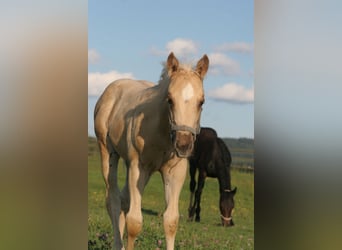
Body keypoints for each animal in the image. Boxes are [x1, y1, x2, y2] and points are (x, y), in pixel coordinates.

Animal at [95, 52, 210, 250]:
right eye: (170, 99)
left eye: (201, 101)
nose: (183, 144)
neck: (162, 132)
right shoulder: (139, 167)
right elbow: (135, 222)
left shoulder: (176, 172)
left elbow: (171, 221)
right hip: (108, 153)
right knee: (113, 200)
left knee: (124, 200)